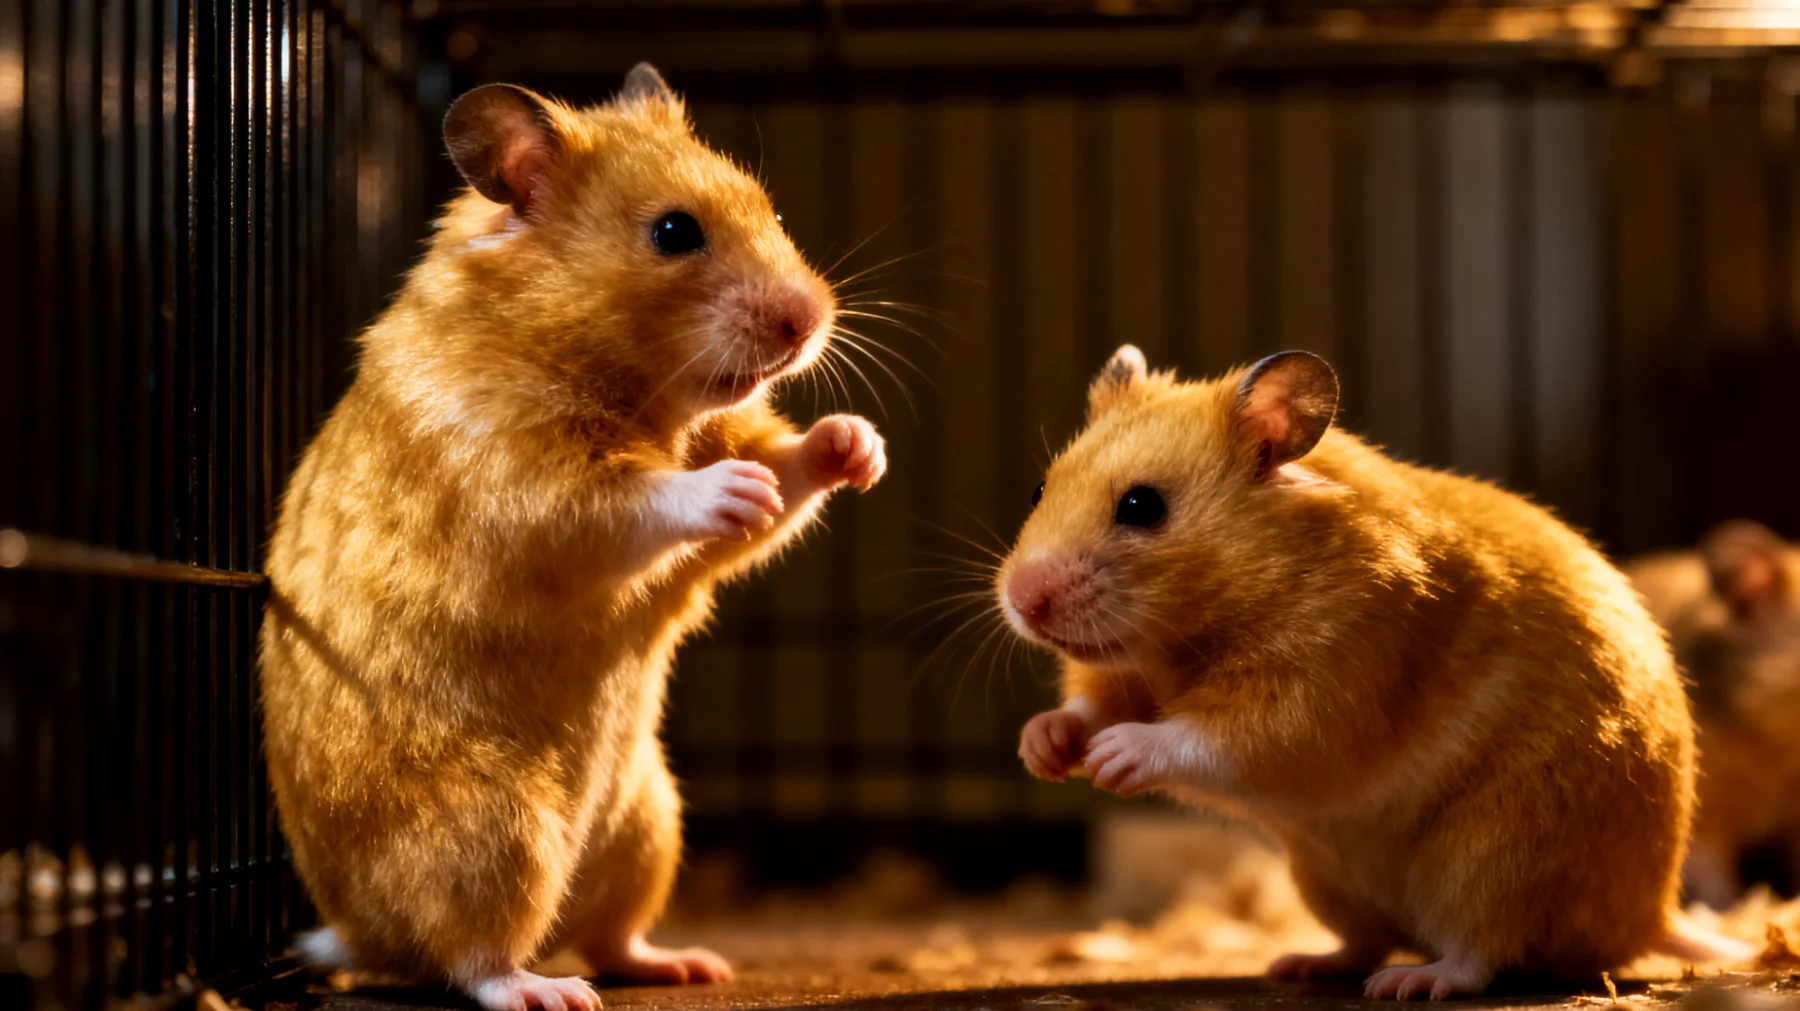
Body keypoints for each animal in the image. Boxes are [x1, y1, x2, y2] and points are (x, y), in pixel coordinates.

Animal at [259, 65, 886, 1011]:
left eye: (770, 209)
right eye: (674, 232)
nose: (810, 320)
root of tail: (353, 930)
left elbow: (787, 469)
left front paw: (858, 447)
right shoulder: (527, 486)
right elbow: (635, 502)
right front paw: (737, 489)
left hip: (650, 822)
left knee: (610, 935)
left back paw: (688, 963)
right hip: (490, 834)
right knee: (469, 956)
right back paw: (544, 990)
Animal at [1002, 346, 1730, 999]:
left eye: (1142, 507)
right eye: (1039, 489)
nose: (1021, 599)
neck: (1182, 644)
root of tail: (1652, 914)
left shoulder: (1317, 697)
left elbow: (1204, 739)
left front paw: (1112, 757)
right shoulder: (1124, 676)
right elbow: (1086, 707)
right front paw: (1045, 749)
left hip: (1492, 857)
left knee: (1480, 951)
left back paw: (1411, 981)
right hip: (1325, 878)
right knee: (1366, 940)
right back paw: (1300, 964)